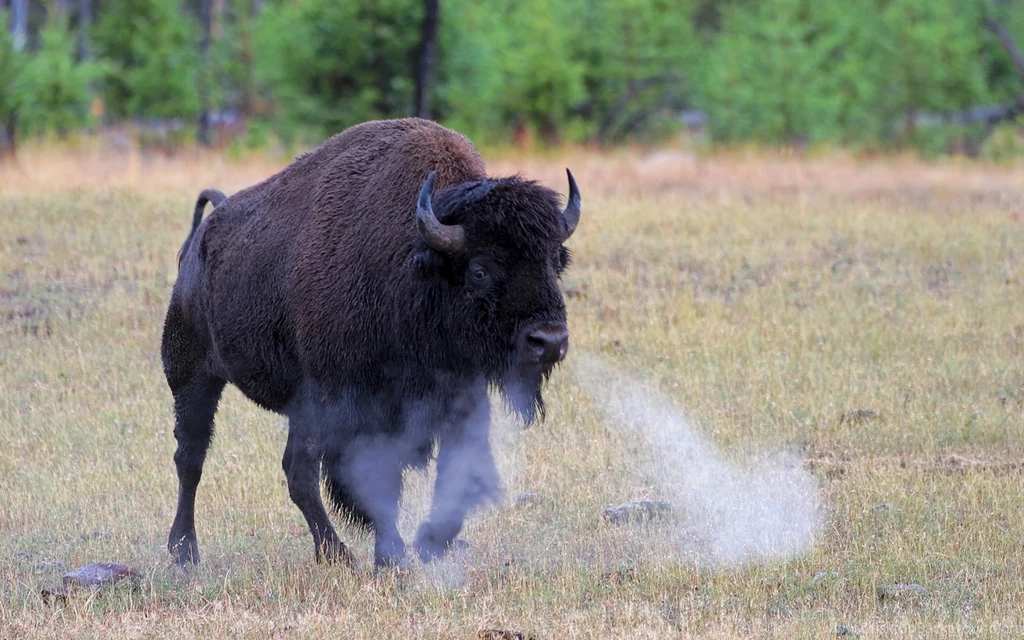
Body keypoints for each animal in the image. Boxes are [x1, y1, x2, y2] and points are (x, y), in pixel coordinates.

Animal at [161, 118, 581, 569]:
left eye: (555, 261)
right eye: (480, 270)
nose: (549, 341)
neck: (414, 263)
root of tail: (202, 239)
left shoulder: (459, 396)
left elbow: (456, 470)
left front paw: (431, 543)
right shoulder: (362, 408)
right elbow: (378, 481)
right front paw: (393, 557)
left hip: (299, 405)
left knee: (295, 469)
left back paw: (333, 553)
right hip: (193, 376)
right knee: (192, 457)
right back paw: (187, 550)